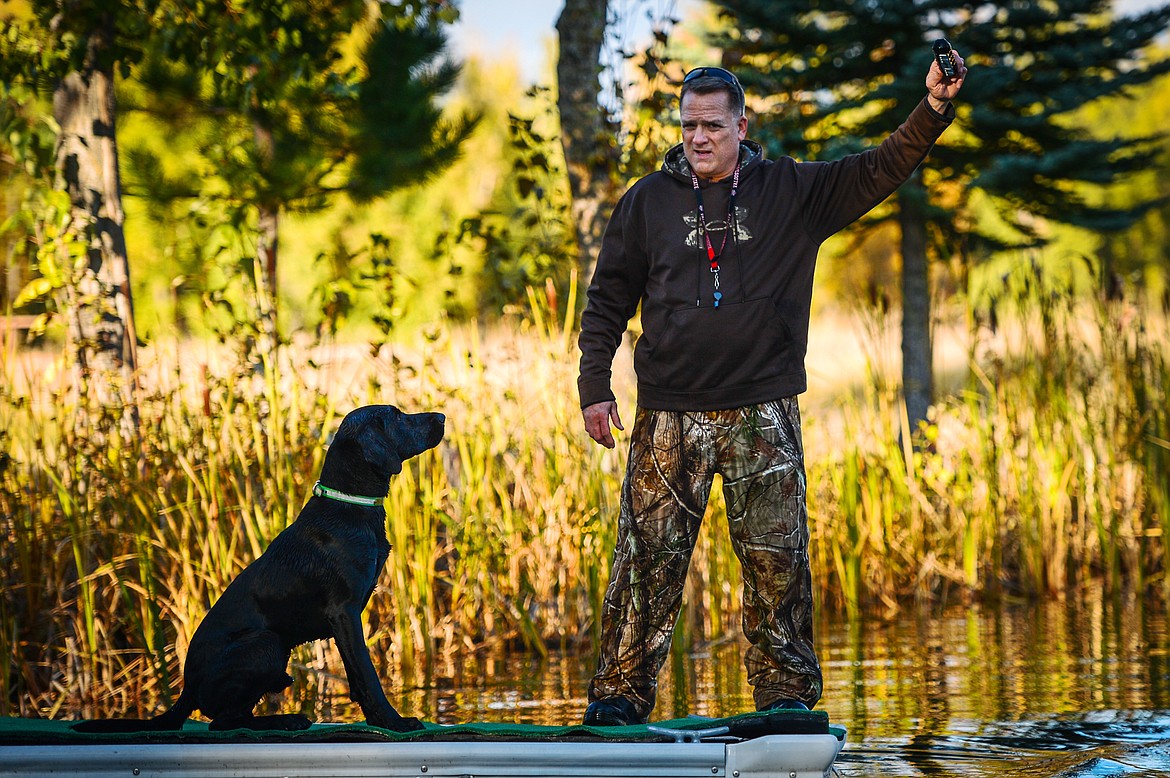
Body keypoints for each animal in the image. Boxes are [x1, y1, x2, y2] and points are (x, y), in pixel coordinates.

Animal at [73, 402, 444, 730]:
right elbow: (367, 673)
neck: (349, 504)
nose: (441, 416)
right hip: (266, 643)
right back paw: (285, 721)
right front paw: (394, 722)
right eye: (397, 415)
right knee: (223, 722)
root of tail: (187, 690)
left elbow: (356, 676)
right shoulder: (345, 611)